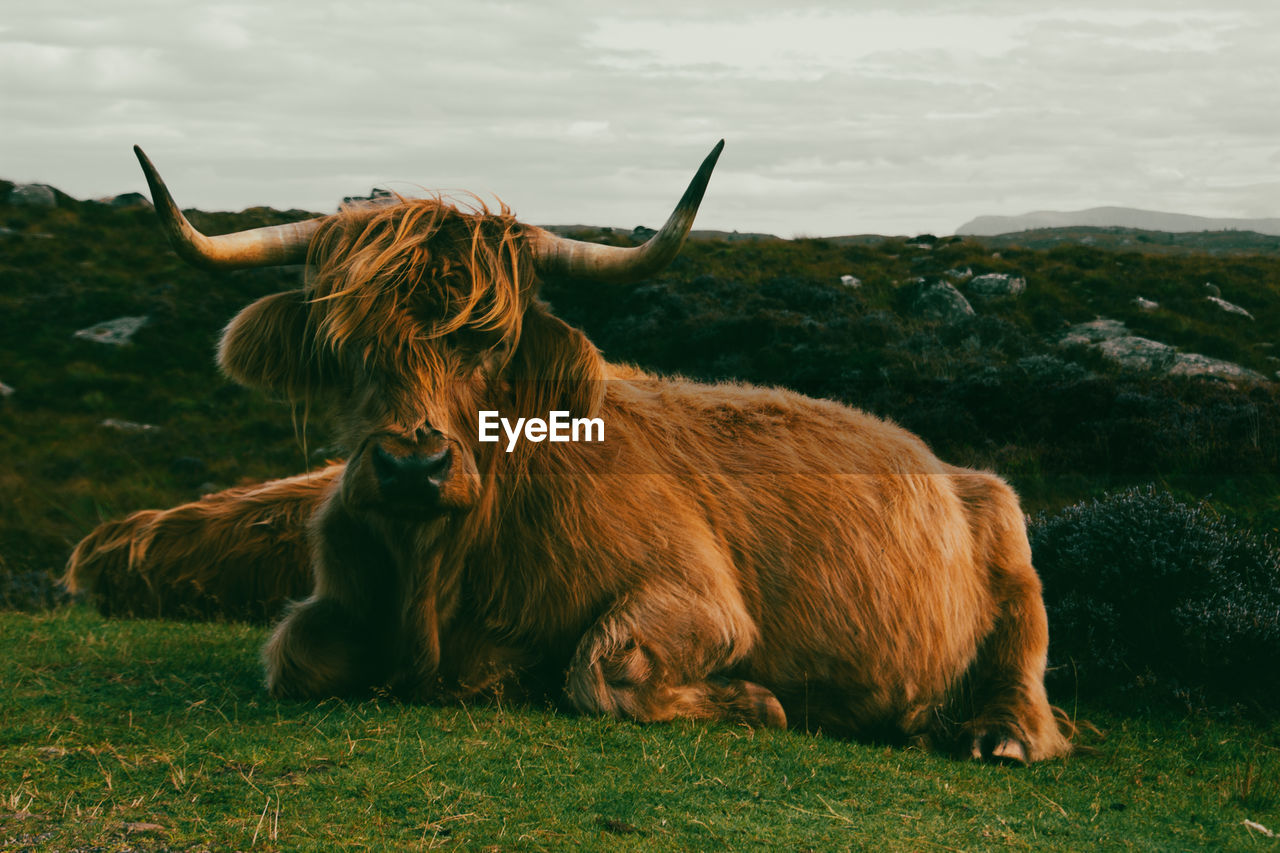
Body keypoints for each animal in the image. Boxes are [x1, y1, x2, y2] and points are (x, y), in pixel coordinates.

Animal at [67, 142, 1070, 758]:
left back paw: (999, 733)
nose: (412, 466)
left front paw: (760, 701)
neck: (443, 573)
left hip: (1013, 549)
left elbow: (601, 666)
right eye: (345, 342)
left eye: (490, 341)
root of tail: (946, 461)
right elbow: (294, 655)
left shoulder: (698, 596)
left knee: (1023, 663)